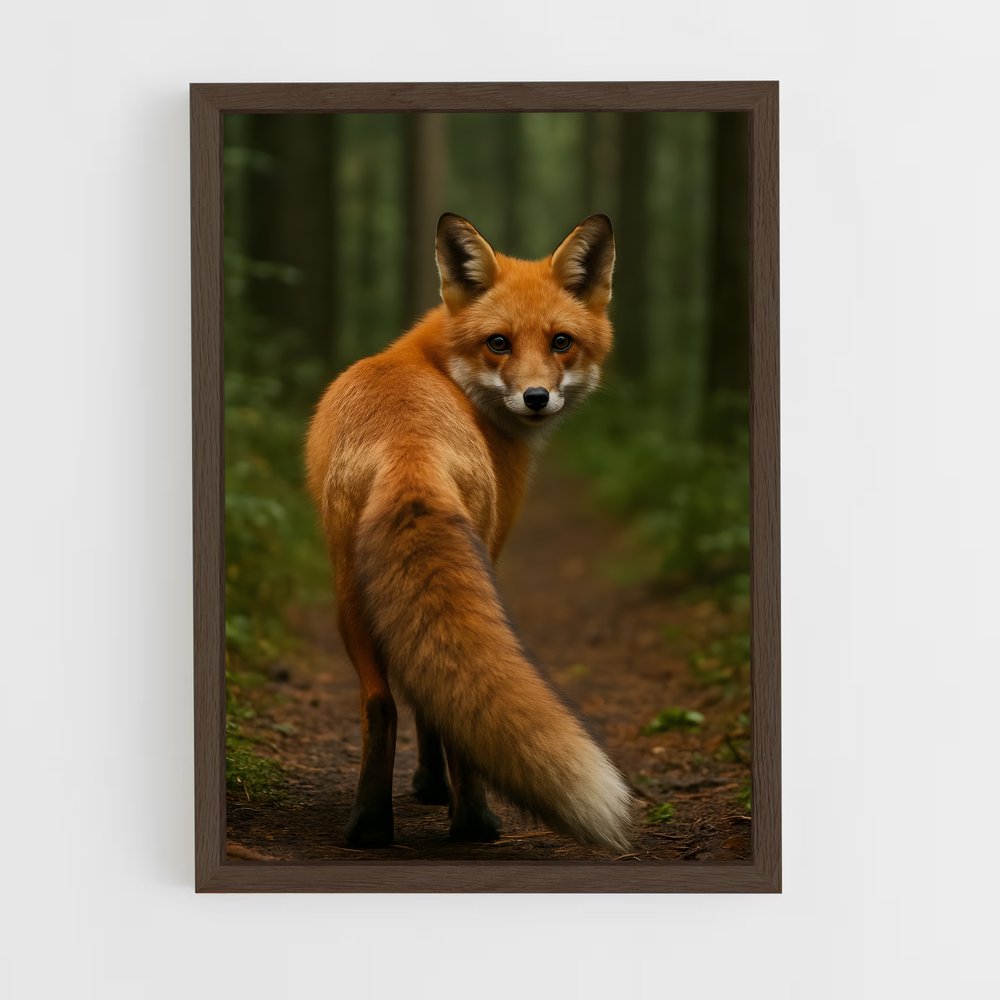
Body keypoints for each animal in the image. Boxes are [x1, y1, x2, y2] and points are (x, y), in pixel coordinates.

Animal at [305, 212, 632, 852]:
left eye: (561, 342)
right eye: (498, 342)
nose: (536, 397)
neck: (438, 369)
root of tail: (408, 448)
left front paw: (425, 787)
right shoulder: (496, 547)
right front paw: (434, 787)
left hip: (351, 597)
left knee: (381, 704)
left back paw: (370, 827)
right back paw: (474, 823)